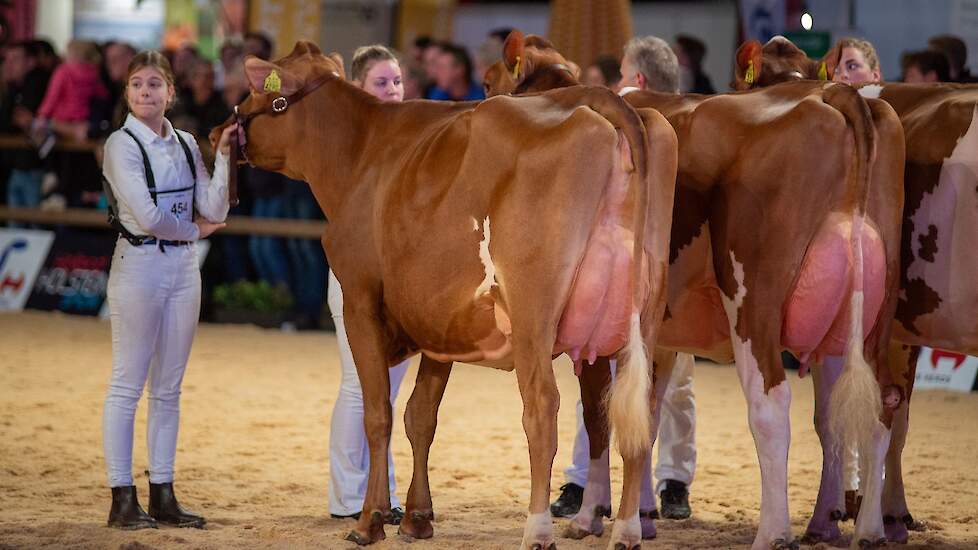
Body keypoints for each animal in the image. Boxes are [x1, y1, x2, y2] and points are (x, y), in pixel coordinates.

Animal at [214, 42, 680, 550]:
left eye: (256, 89)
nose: (219, 129)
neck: (363, 153)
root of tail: (600, 99)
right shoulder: (440, 323)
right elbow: (421, 416)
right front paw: (417, 517)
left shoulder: (360, 301)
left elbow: (378, 414)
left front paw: (369, 521)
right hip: (641, 319)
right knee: (637, 415)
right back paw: (627, 529)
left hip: (534, 317)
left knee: (542, 408)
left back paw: (537, 529)